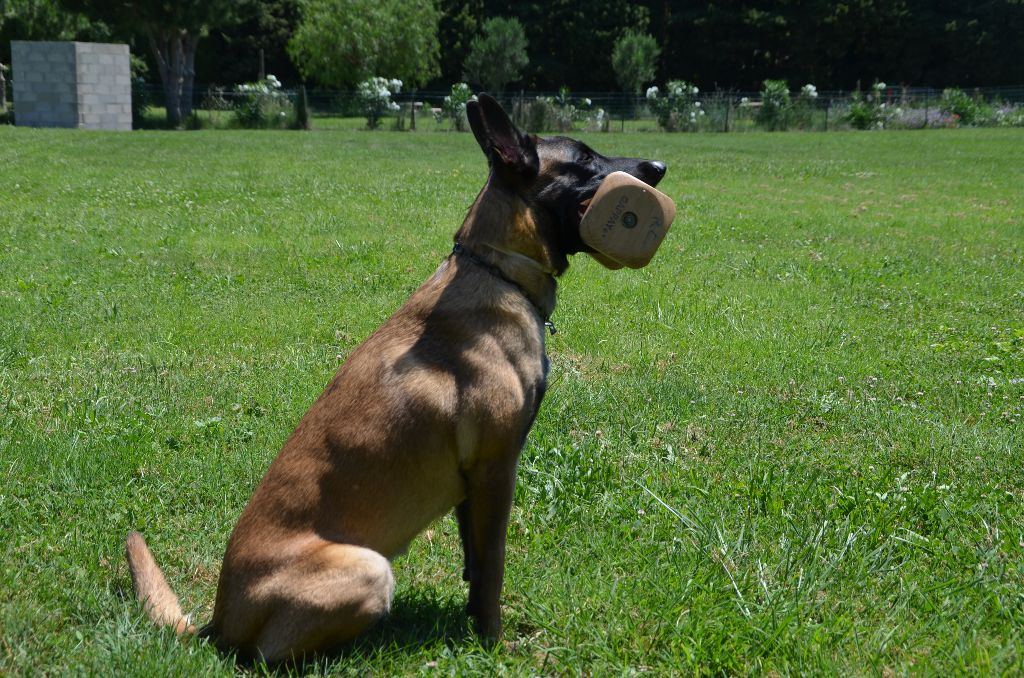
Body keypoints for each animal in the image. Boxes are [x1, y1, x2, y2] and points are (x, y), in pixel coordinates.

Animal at [123, 93, 667, 659]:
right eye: (584, 159)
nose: (659, 167)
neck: (497, 269)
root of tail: (217, 622)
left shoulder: (473, 484)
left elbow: (475, 564)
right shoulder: (496, 469)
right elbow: (492, 567)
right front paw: (494, 641)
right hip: (369, 571)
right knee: (269, 657)